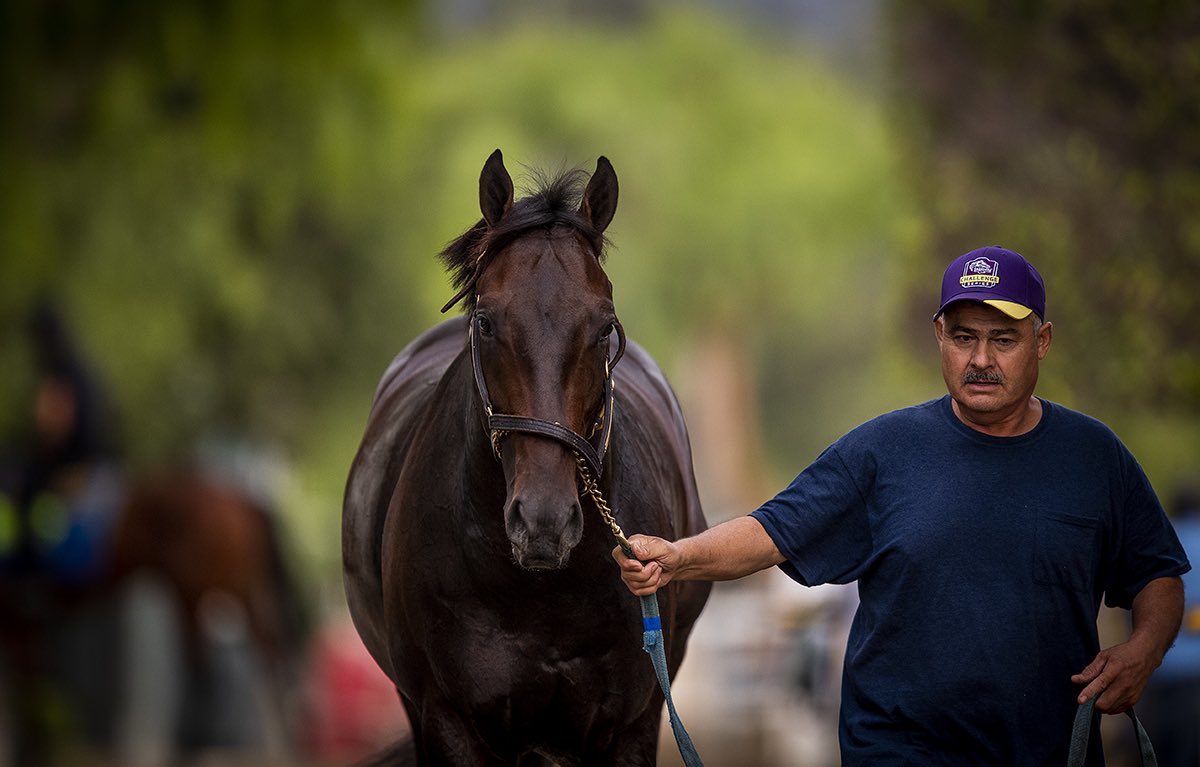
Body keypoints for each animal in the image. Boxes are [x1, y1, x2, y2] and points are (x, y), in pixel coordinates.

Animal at [343, 149, 711, 765]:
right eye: (486, 321)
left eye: (605, 326)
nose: (543, 522)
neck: (541, 595)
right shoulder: (449, 721)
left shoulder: (632, 724)